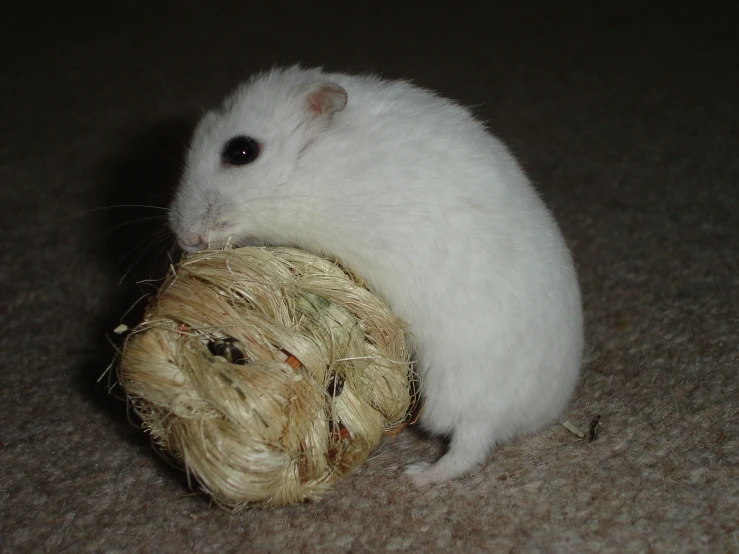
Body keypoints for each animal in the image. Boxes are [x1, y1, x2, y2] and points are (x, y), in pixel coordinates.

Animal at [168, 64, 584, 486]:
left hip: (461, 388)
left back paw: (415, 475)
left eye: (241, 151)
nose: (184, 237)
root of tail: (544, 413)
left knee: (468, 449)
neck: (306, 174)